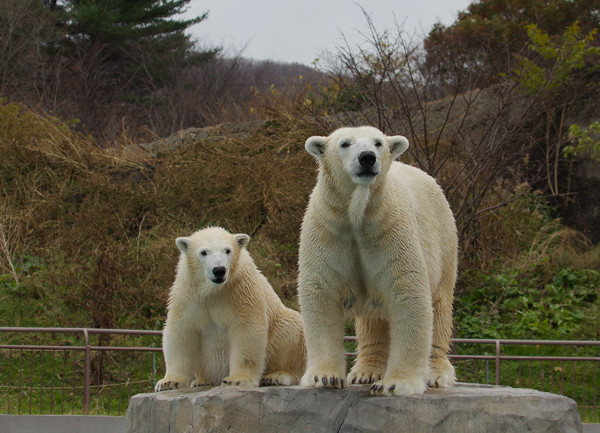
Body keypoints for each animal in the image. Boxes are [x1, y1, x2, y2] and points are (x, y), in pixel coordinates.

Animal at [156, 224, 304, 390]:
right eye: (204, 252)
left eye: (227, 250)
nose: (219, 270)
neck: (214, 290)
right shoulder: (188, 296)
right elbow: (181, 331)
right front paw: (169, 382)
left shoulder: (241, 291)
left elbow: (246, 329)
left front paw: (237, 379)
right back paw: (202, 381)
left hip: (280, 329)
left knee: (290, 327)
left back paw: (276, 376)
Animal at [298, 125, 458, 394]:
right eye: (345, 143)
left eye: (378, 143)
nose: (367, 158)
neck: (357, 217)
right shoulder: (328, 230)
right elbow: (322, 292)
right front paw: (325, 377)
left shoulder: (391, 231)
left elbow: (409, 294)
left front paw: (397, 383)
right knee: (372, 320)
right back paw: (365, 372)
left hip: (445, 241)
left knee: (441, 306)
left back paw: (437, 374)